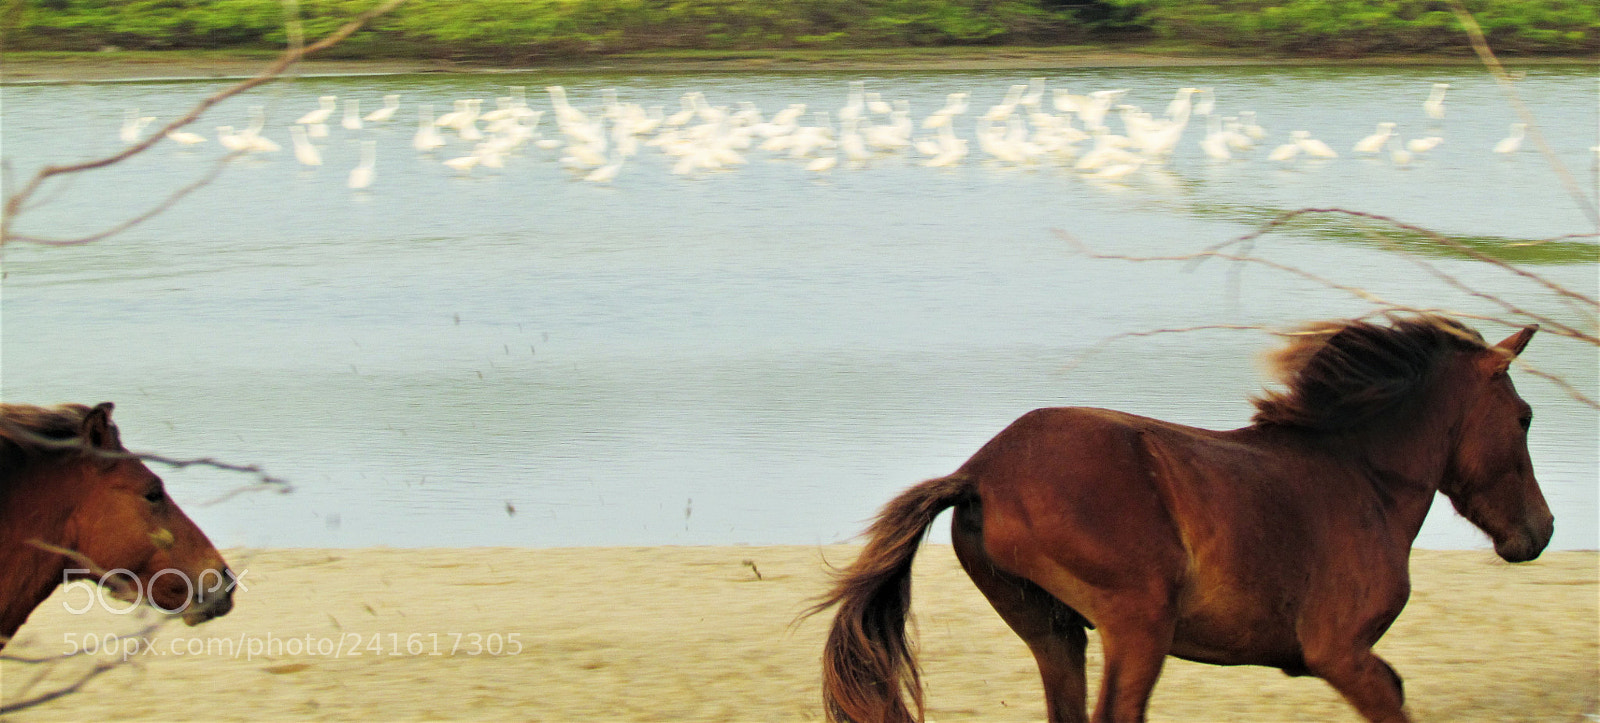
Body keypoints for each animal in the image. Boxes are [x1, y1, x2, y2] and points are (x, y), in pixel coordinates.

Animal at [812, 315, 1550, 723]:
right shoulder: (1339, 652)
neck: (1360, 477)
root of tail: (979, 472)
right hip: (1137, 622)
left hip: (1053, 631)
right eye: (1524, 418)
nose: (1538, 532)